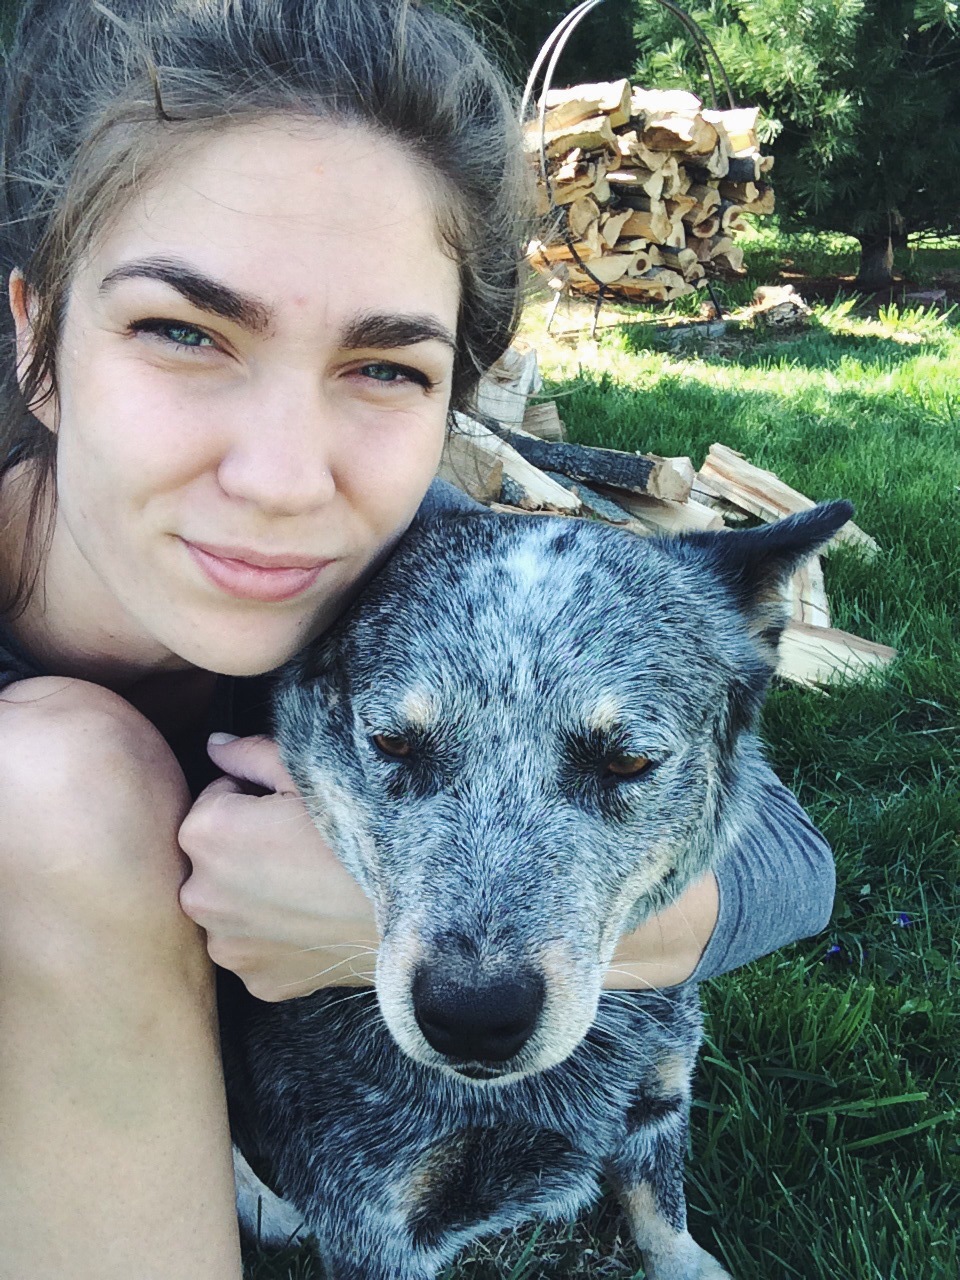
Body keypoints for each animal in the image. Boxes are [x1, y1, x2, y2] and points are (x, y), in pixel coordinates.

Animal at [219, 500, 852, 1280]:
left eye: (628, 762)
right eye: (393, 743)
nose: (473, 1015)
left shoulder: (661, 1095)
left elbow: (663, 1212)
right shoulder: (373, 1217)